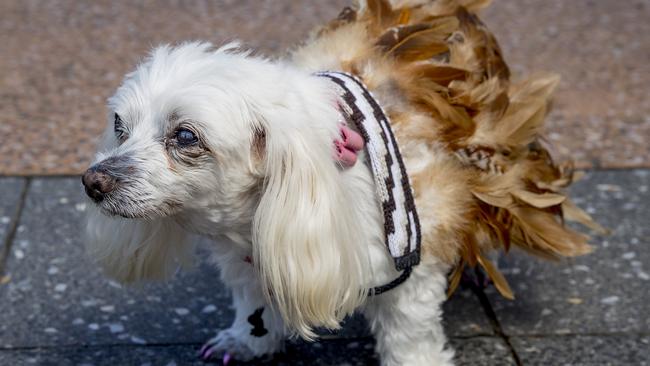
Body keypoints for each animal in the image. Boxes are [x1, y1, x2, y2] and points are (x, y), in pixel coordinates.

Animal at [82, 1, 596, 364]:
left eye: (185, 136)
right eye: (120, 126)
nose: (92, 182)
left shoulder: (408, 275)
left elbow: (409, 338)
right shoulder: (251, 261)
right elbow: (254, 301)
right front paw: (249, 339)